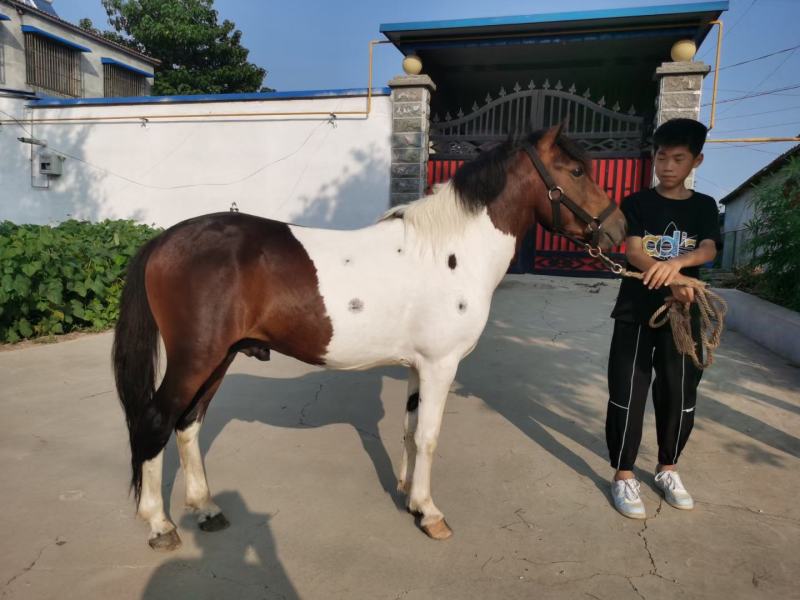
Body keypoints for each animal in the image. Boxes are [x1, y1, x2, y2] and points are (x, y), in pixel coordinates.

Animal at [112, 123, 627, 550]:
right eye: (576, 170)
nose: (619, 228)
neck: (450, 251)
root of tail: (163, 240)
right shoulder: (441, 365)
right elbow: (430, 437)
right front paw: (431, 514)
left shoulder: (420, 368)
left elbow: (410, 431)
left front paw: (410, 499)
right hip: (196, 358)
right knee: (156, 422)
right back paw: (160, 524)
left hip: (219, 359)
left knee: (188, 424)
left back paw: (206, 509)